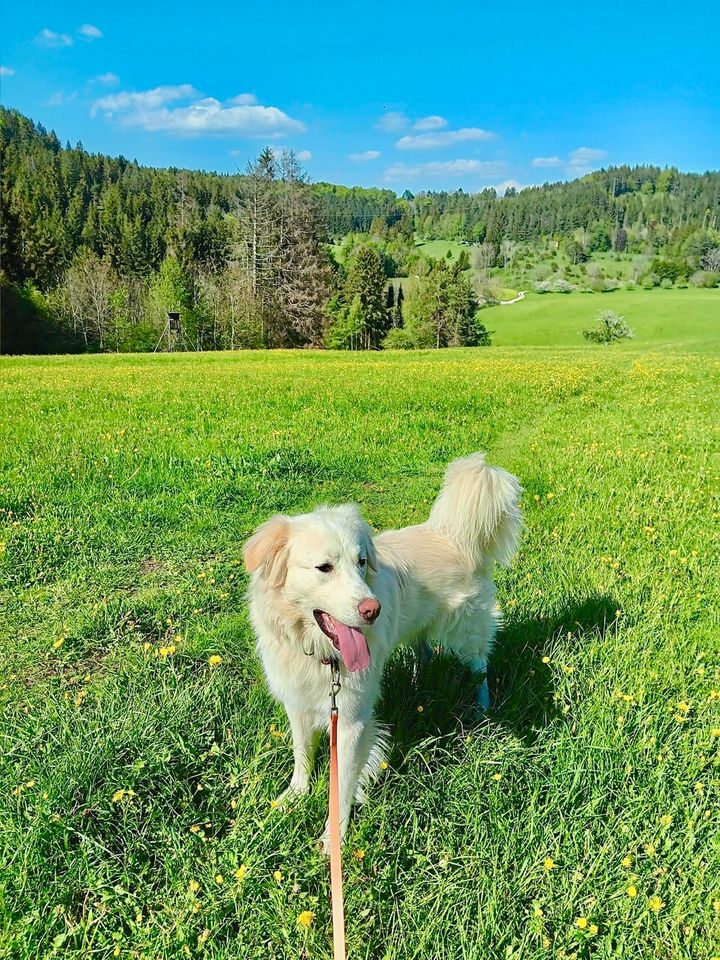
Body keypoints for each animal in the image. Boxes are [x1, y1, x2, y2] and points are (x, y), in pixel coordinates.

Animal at [245, 454, 520, 844]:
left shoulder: (350, 718)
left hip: (466, 631)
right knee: (425, 652)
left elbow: (342, 783)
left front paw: (333, 840)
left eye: (361, 562)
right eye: (324, 567)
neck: (320, 651)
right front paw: (294, 797)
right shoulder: (296, 701)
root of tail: (451, 535)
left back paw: (482, 706)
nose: (372, 610)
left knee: (480, 665)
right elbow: (301, 754)